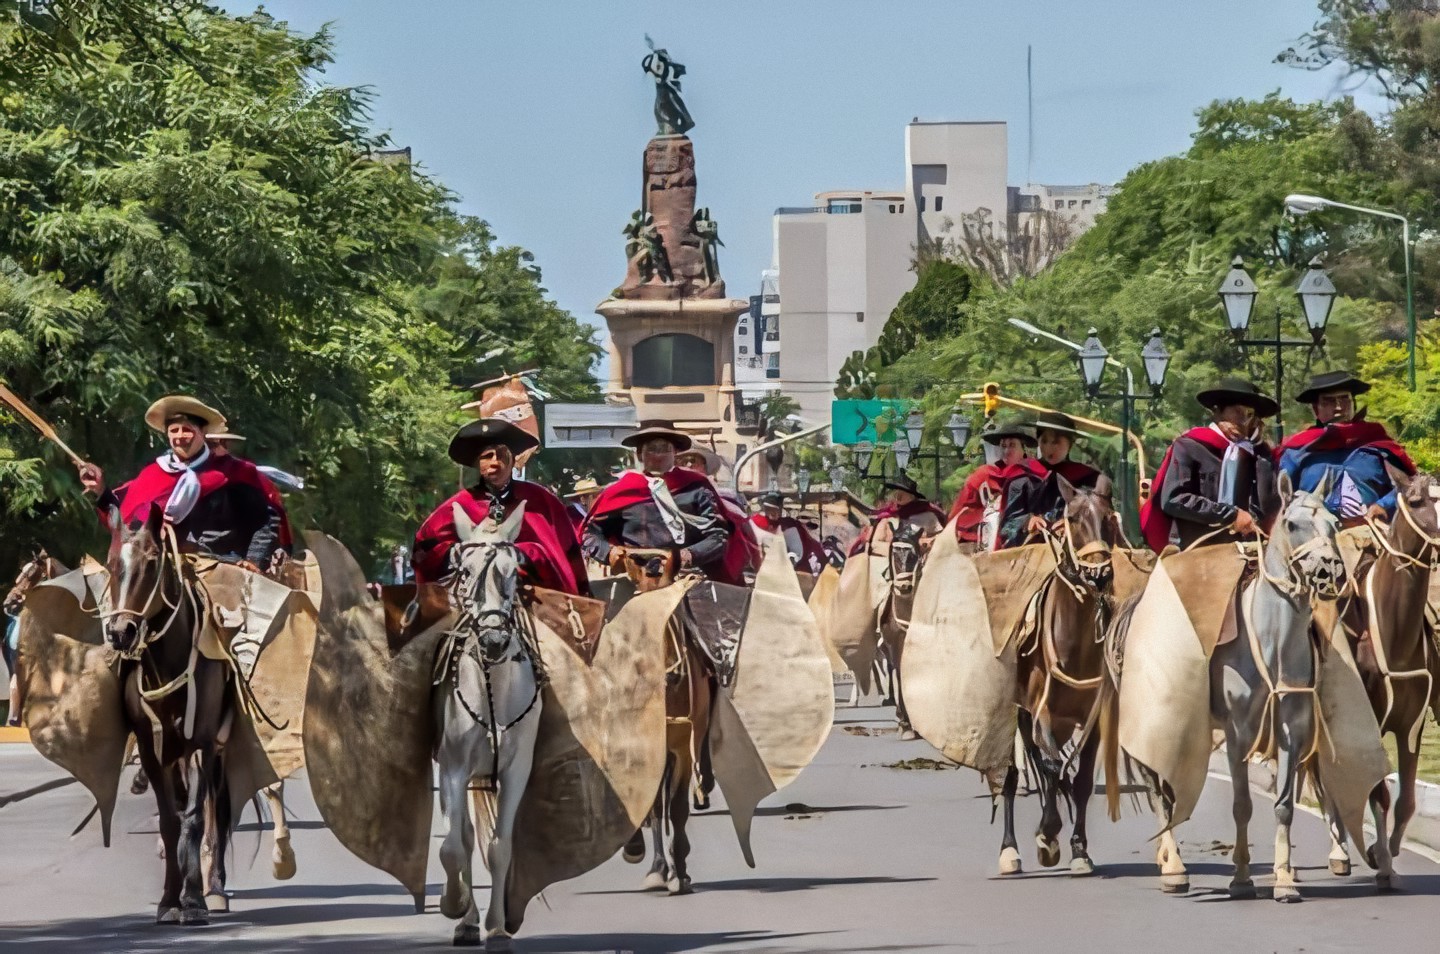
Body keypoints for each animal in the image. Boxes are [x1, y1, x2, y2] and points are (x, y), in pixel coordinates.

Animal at [105, 507, 237, 928]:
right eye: (112, 564)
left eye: (151, 562)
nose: (121, 632)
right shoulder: (152, 748)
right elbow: (169, 820)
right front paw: (169, 900)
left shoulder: (201, 744)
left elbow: (195, 817)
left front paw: (193, 900)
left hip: (217, 751)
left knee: (216, 812)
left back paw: (215, 887)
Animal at [432, 504, 544, 951]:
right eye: (464, 570)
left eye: (514, 571)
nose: (494, 641)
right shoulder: (453, 769)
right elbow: (453, 847)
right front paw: (455, 906)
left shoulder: (516, 772)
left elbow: (499, 848)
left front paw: (497, 927)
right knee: (460, 836)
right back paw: (465, 919)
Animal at [996, 481, 1117, 876]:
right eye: (1074, 519)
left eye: (1110, 519)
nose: (1099, 575)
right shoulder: (1042, 713)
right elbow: (1049, 768)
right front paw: (1048, 836)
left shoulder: (1093, 719)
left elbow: (1080, 781)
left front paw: (1079, 850)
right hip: (1018, 713)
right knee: (1012, 775)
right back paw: (1009, 850)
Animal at [1111, 478, 1359, 905]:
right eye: (1292, 524)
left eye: (1335, 522)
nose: (1330, 572)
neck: (1272, 641)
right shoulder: (1238, 731)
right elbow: (1242, 805)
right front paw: (1242, 879)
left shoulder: (1291, 727)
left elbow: (1284, 805)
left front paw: (1284, 878)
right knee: (1159, 791)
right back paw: (1173, 867)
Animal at [1324, 469, 1440, 881]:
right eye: (1418, 501)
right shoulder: (1368, 723)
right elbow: (1379, 793)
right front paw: (1381, 858)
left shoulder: (1411, 726)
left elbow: (1406, 801)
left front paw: (1387, 849)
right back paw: (1339, 852)